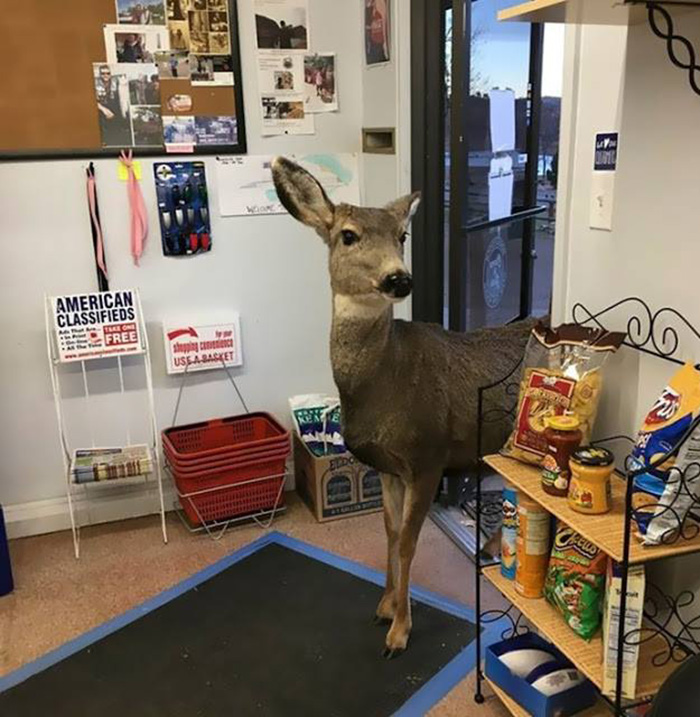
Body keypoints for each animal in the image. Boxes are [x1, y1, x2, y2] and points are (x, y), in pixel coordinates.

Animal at [270, 158, 532, 660]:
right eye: (348, 235)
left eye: (402, 235)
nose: (399, 278)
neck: (384, 383)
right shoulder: (388, 467)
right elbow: (390, 534)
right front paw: (385, 605)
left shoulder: (428, 458)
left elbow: (410, 542)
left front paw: (399, 632)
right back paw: (491, 547)